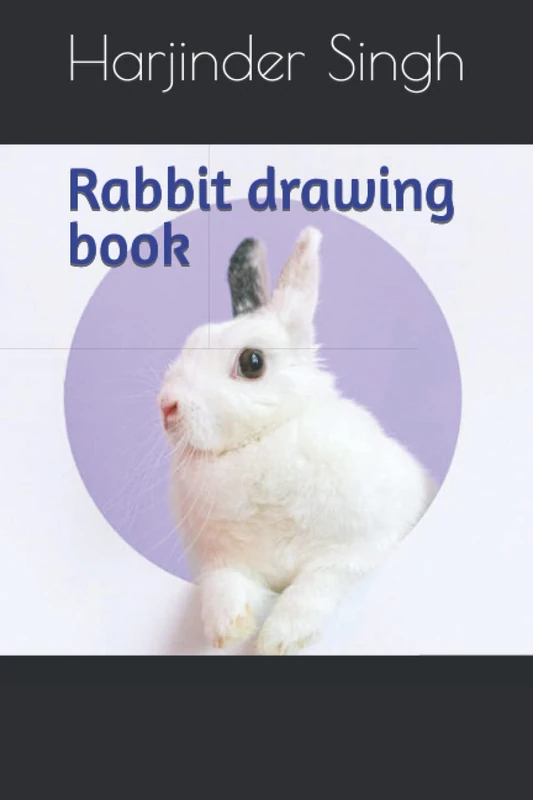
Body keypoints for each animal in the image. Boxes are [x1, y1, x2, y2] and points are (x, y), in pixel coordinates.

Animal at [158, 227, 437, 655]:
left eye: (252, 362)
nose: (167, 406)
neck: (261, 441)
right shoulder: (220, 560)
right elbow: (223, 585)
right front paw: (228, 629)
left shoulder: (359, 547)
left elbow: (315, 586)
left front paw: (278, 638)